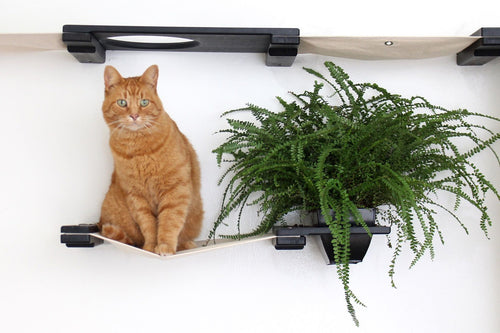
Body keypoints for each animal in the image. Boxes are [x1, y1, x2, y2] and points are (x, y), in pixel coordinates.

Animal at [97, 65, 203, 256]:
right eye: (122, 103)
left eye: (144, 102)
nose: (134, 115)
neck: (139, 149)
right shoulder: (136, 197)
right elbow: (148, 226)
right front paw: (150, 247)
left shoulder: (175, 190)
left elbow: (169, 221)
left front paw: (165, 246)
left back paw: (186, 245)